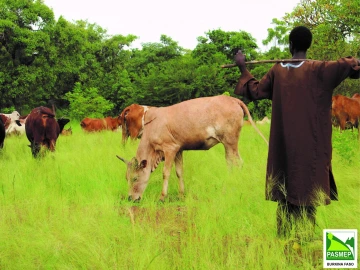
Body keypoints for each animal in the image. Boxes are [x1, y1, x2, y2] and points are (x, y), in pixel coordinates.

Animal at [116, 96, 268, 201]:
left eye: (135, 178)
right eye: (126, 178)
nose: (131, 198)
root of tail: (233, 100)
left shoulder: (170, 149)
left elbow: (166, 173)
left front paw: (162, 196)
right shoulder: (179, 150)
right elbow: (179, 172)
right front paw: (181, 194)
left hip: (231, 142)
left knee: (238, 162)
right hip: (228, 144)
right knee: (230, 162)